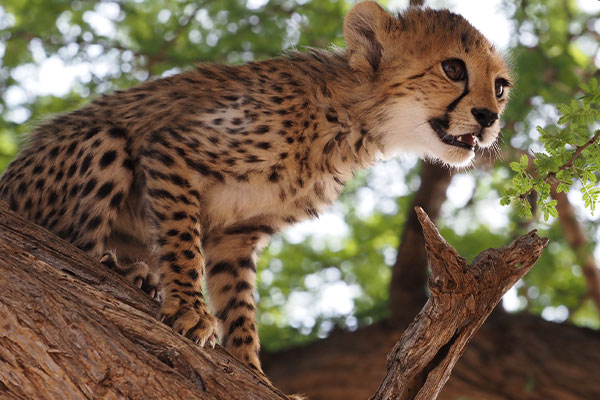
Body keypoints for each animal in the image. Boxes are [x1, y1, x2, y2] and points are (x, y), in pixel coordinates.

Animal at [0, 0, 511, 378]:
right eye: (453, 68)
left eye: (501, 86)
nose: (489, 118)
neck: (353, 120)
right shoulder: (173, 152)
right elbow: (183, 245)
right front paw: (190, 308)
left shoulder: (238, 235)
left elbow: (240, 304)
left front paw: (252, 369)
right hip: (102, 141)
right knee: (82, 238)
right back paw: (127, 269)